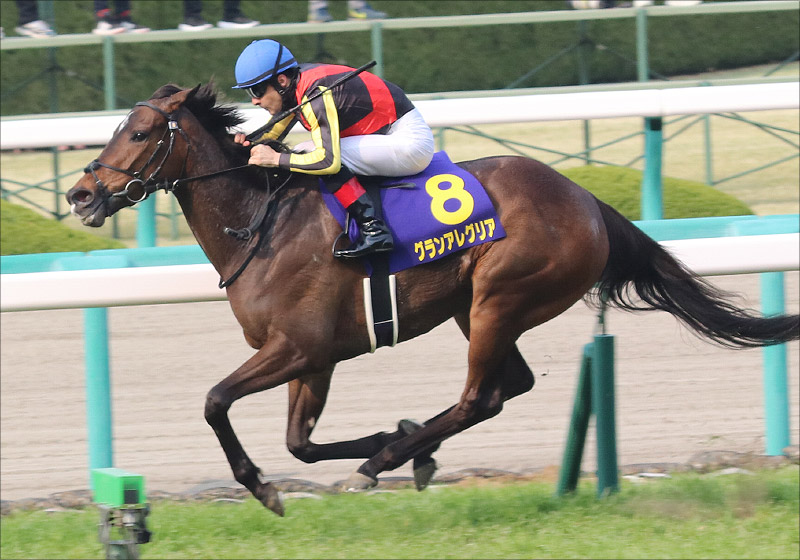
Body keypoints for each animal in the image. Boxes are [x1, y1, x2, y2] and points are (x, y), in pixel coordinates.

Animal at [66, 83, 799, 516]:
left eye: (139, 134)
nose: (80, 194)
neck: (261, 224)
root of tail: (589, 202)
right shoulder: (314, 357)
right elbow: (301, 443)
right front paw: (392, 434)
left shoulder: (298, 346)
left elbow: (217, 402)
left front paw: (270, 488)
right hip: (473, 307)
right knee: (508, 386)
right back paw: (405, 451)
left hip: (499, 297)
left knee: (481, 396)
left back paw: (385, 463)